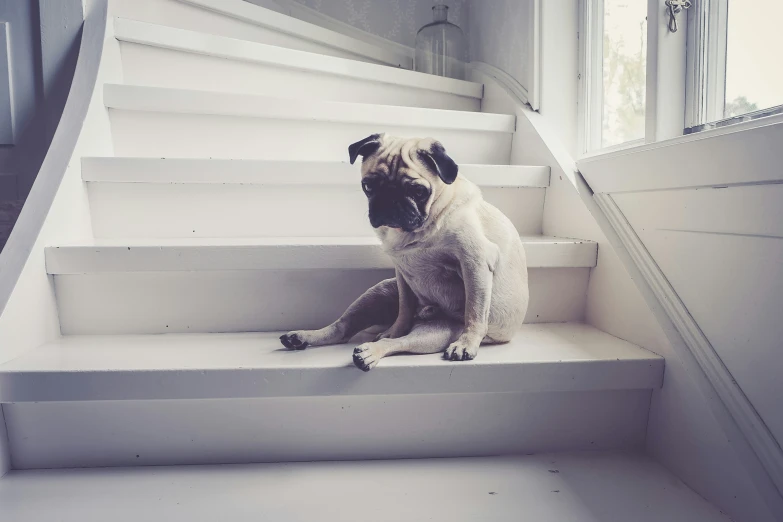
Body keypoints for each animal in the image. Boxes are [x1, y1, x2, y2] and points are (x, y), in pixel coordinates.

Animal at [278, 134, 528, 370]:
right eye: (368, 186)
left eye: (418, 191)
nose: (390, 199)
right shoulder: (402, 274)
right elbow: (404, 309)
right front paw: (396, 328)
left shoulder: (475, 262)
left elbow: (475, 310)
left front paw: (467, 343)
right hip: (379, 291)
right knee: (343, 329)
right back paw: (303, 337)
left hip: (437, 333)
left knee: (398, 343)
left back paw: (370, 353)